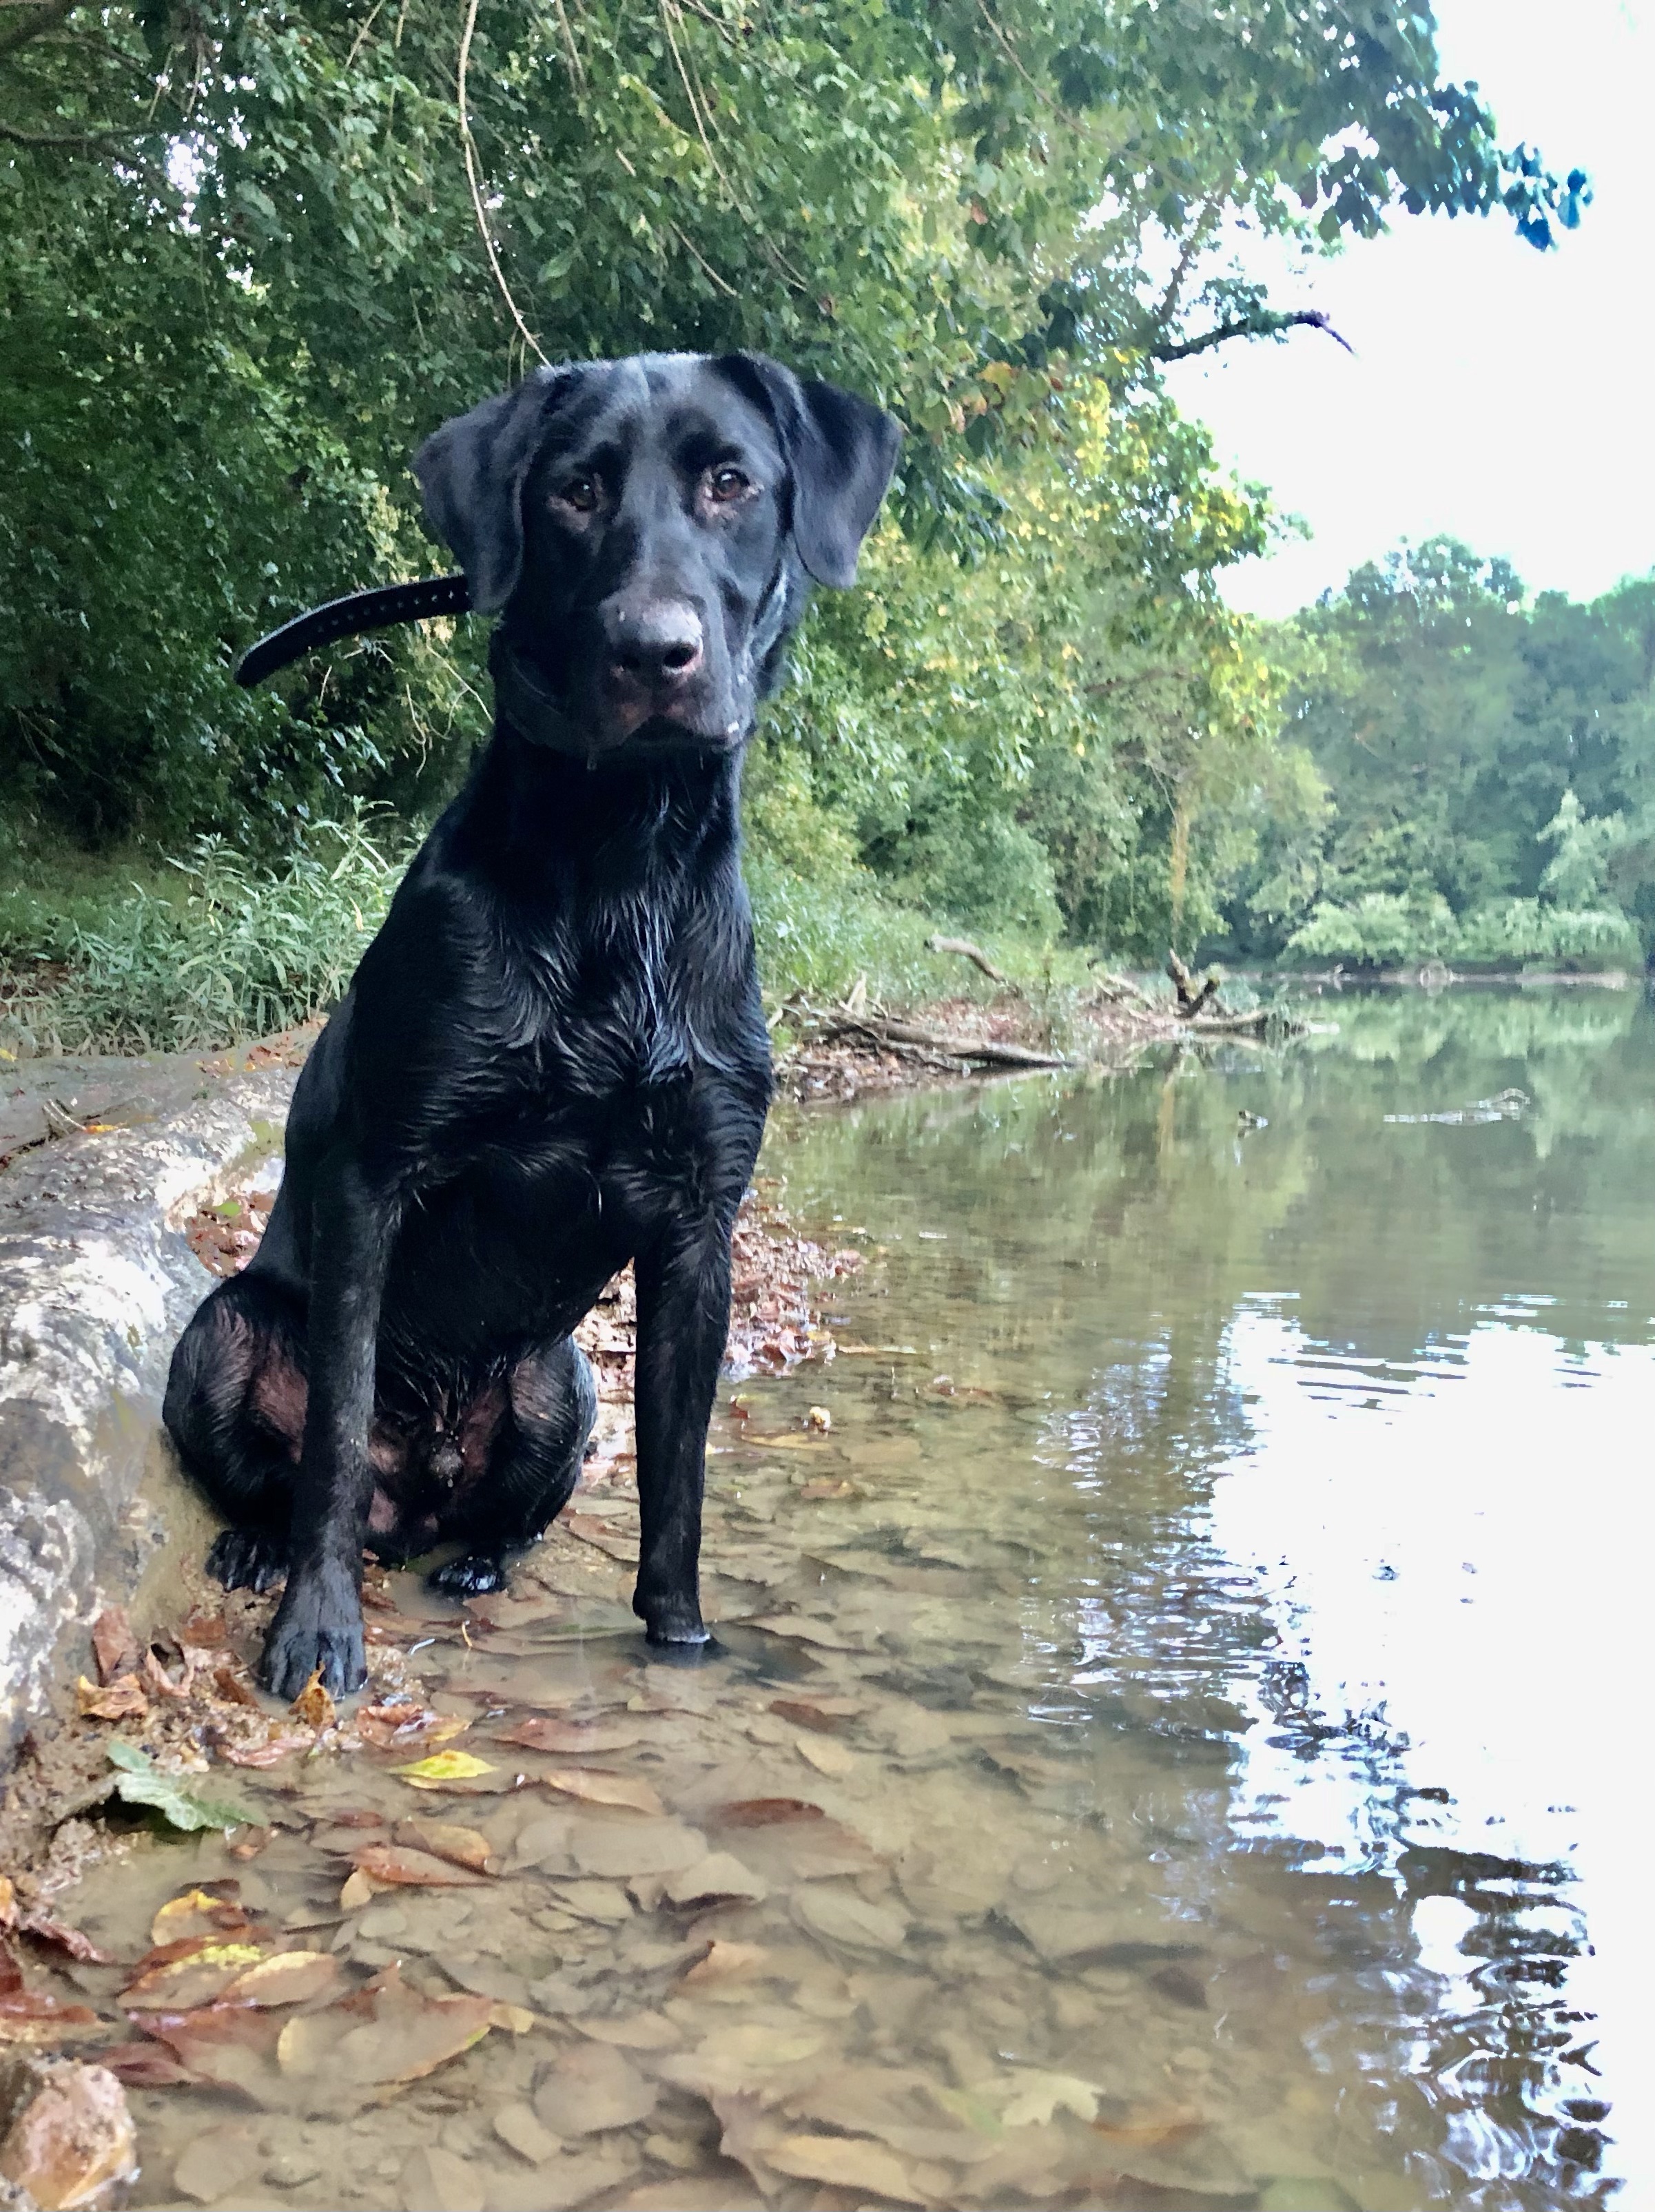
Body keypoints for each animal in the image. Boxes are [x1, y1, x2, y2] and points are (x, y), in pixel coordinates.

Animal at [161, 349, 898, 1690]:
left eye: (730, 481)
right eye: (576, 490)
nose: (654, 652)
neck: (621, 868)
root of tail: (417, 1497)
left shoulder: (698, 1225)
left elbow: (677, 1470)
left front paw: (679, 1634)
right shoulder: (376, 1176)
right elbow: (333, 1434)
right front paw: (317, 1629)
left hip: (560, 1380)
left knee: (509, 1509)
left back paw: (480, 1557)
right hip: (225, 1328)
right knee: (287, 1471)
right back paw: (261, 1547)